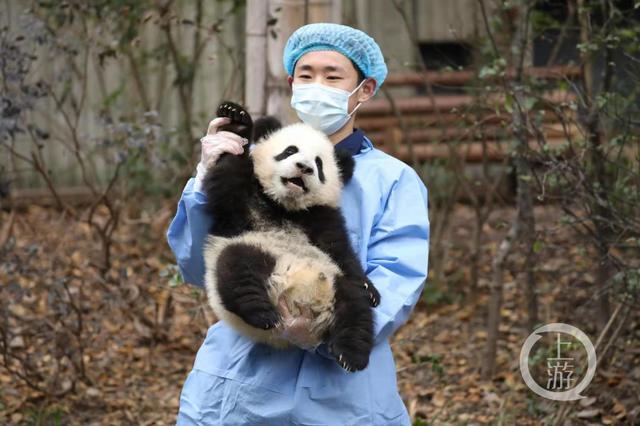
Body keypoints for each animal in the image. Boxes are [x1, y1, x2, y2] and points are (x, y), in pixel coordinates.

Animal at [202, 101, 378, 372]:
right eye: (290, 151)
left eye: (319, 164)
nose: (304, 168)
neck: (284, 206)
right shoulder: (242, 205)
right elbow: (227, 178)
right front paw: (238, 122)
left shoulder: (320, 216)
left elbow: (340, 250)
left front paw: (371, 290)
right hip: (255, 251)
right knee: (237, 266)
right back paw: (262, 313)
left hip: (334, 280)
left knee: (355, 305)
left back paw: (351, 355)